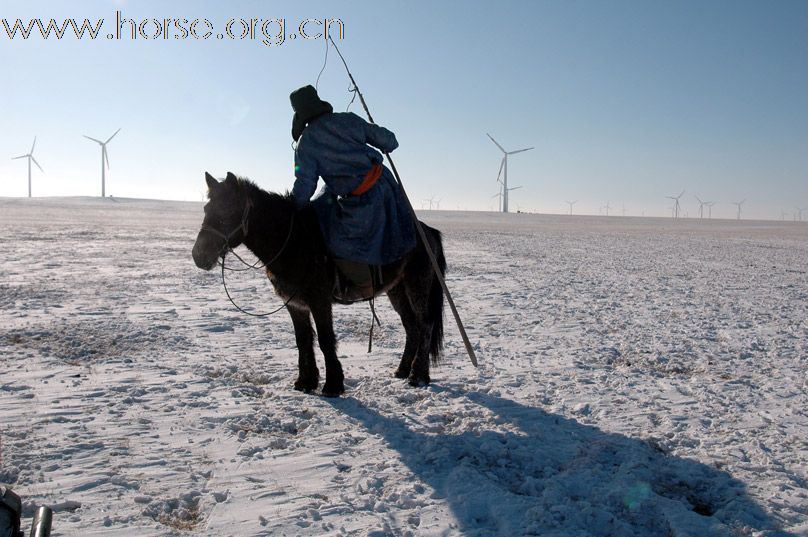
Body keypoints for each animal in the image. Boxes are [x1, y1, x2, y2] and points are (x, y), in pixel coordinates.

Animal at [194, 174, 448, 396]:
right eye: (206, 210)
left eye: (228, 212)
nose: (199, 255)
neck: (293, 241)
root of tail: (428, 231)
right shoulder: (295, 304)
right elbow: (303, 340)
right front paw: (305, 382)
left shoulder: (320, 300)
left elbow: (326, 339)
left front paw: (333, 385)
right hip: (397, 289)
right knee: (412, 326)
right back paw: (402, 370)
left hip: (418, 284)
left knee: (425, 324)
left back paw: (418, 375)